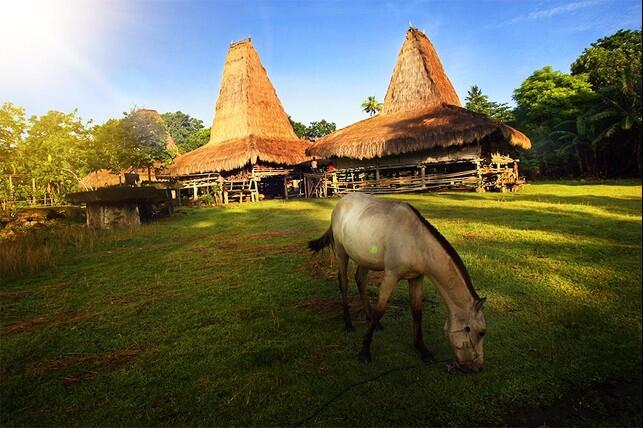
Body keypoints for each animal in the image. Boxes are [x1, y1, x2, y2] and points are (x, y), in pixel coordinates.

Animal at [310, 194, 486, 372]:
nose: (477, 367)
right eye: (481, 333)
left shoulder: (416, 278)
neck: (417, 242)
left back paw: (370, 318)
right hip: (342, 252)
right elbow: (380, 310)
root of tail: (342, 200)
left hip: (364, 258)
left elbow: (417, 311)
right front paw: (365, 352)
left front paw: (422, 350)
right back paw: (348, 324)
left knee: (360, 280)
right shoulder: (391, 276)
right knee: (344, 282)